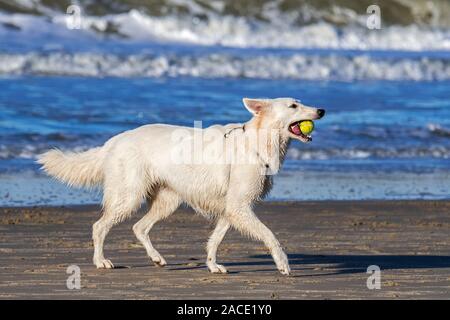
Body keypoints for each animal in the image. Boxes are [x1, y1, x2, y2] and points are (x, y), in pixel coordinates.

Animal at [38, 98, 326, 276]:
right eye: (293, 105)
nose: (322, 111)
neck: (257, 142)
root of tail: (115, 140)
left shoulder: (231, 209)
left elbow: (214, 240)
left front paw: (212, 266)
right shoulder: (239, 207)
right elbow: (270, 236)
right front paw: (283, 264)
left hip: (168, 201)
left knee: (139, 227)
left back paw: (156, 258)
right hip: (129, 196)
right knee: (100, 226)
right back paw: (101, 261)